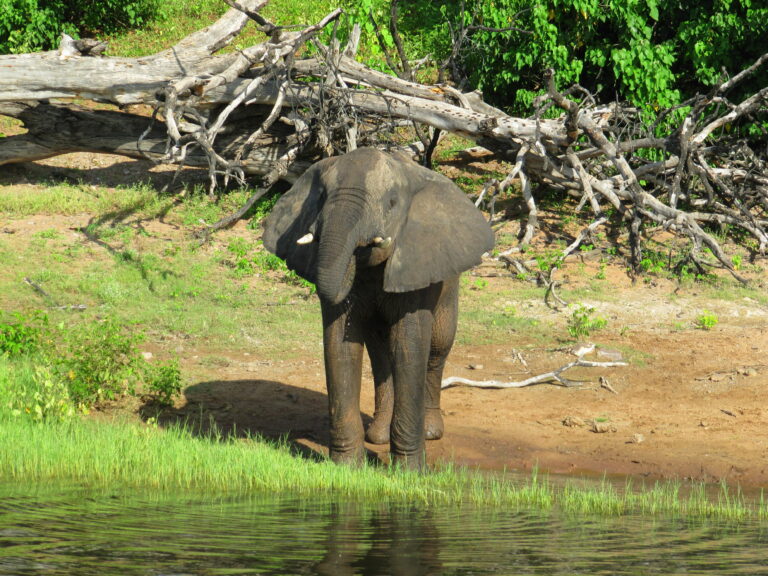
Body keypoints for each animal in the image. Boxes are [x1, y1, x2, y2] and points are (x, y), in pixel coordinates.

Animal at [262, 147, 492, 468]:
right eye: (321, 197)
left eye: (392, 204)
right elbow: (339, 343)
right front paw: (346, 468)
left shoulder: (415, 261)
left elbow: (409, 342)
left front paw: (409, 471)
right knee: (382, 354)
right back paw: (379, 436)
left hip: (449, 279)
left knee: (438, 345)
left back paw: (431, 432)